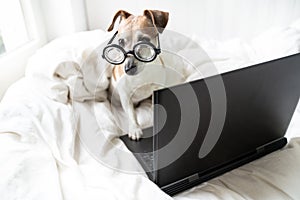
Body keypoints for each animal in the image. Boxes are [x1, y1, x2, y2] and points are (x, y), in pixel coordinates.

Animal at [105, 9, 195, 141]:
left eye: (145, 40)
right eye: (120, 41)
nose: (128, 69)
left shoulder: (157, 89)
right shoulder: (125, 96)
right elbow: (131, 113)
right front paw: (135, 129)